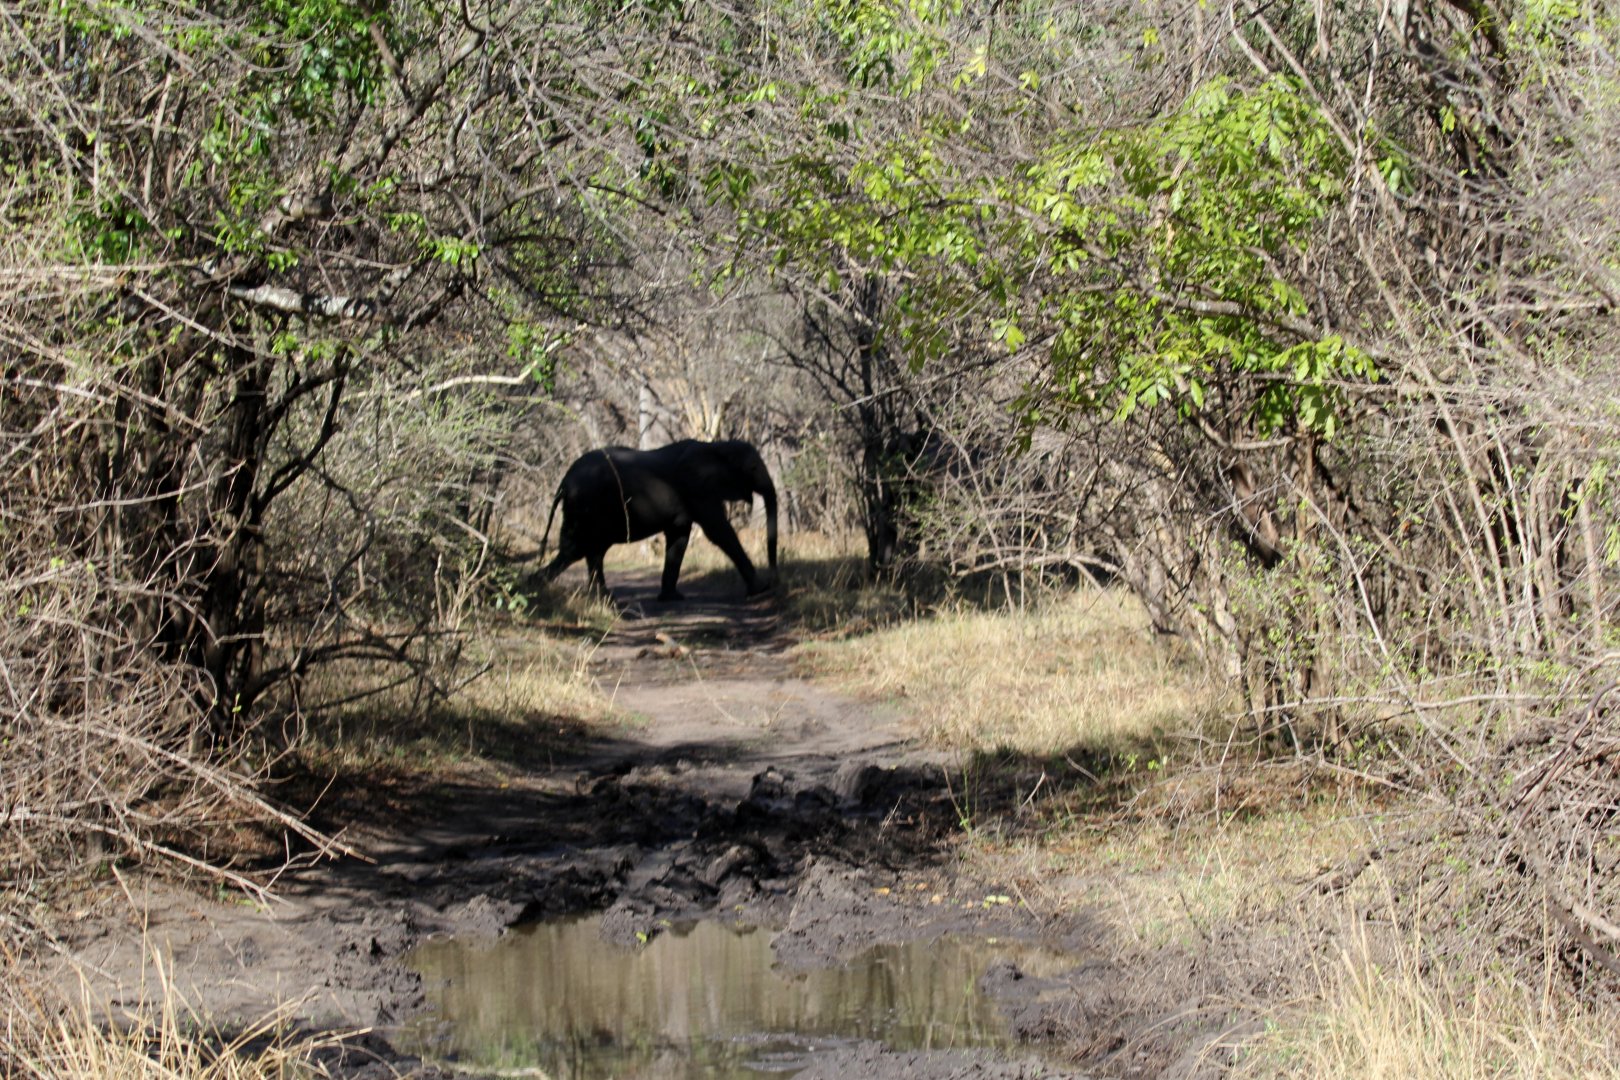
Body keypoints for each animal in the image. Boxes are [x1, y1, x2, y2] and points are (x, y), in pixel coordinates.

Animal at [539, 439, 779, 601]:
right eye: (753, 468)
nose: (774, 578)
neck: (717, 446)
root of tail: (564, 482)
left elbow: (679, 537)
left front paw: (672, 597)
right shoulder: (698, 487)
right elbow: (718, 531)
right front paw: (761, 589)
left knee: (590, 551)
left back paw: (600, 597)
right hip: (586, 507)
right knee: (577, 550)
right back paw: (537, 585)